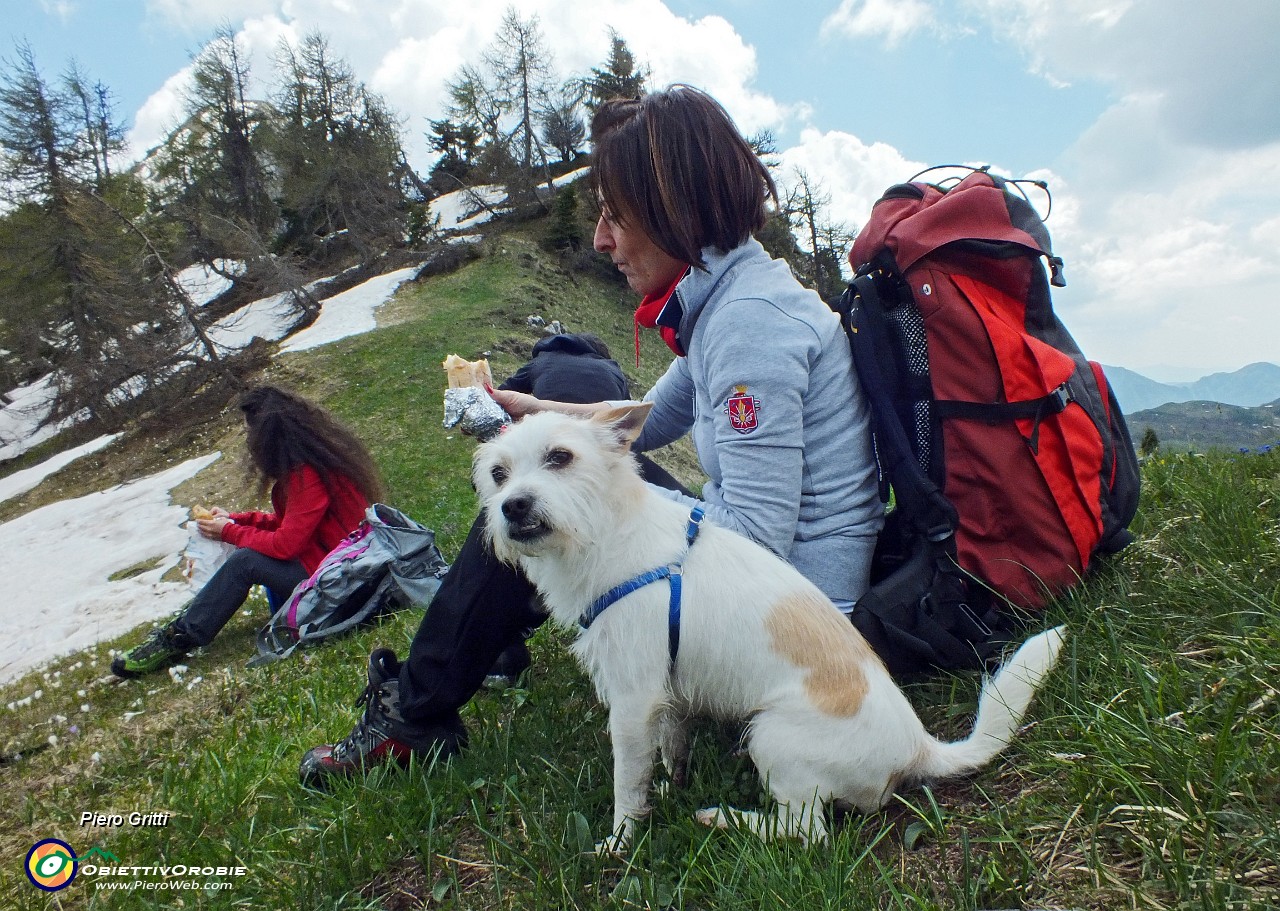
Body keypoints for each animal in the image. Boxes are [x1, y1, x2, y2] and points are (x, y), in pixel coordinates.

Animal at [476, 404, 1064, 844]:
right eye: (498, 475)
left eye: (560, 457)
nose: (512, 507)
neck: (609, 534)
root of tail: (920, 747)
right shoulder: (666, 696)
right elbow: (670, 749)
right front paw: (671, 787)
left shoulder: (631, 701)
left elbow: (627, 781)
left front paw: (621, 842)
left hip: (771, 736)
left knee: (805, 833)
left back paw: (727, 819)